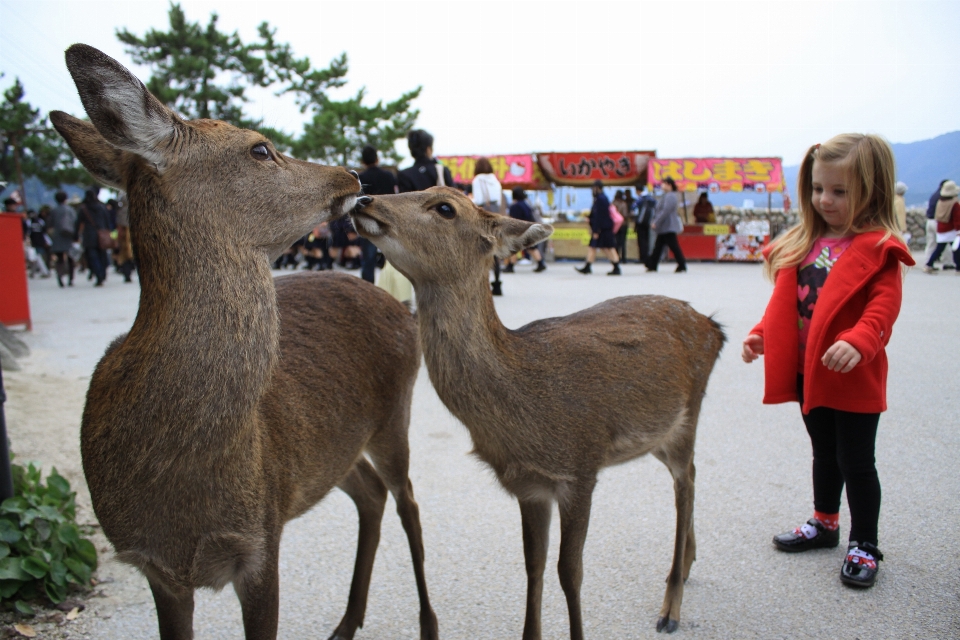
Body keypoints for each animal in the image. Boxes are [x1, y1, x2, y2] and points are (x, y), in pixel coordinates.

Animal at [53, 45, 438, 640]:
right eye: (260, 148)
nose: (352, 175)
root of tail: (402, 308)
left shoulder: (261, 538)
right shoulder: (157, 566)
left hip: (395, 413)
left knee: (409, 502)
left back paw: (426, 622)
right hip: (328, 448)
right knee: (372, 494)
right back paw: (347, 622)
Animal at [352, 188, 728, 636]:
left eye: (444, 207)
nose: (363, 198)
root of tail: (714, 328)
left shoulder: (581, 467)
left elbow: (571, 572)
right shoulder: (529, 486)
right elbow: (534, 566)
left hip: (690, 412)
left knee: (684, 483)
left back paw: (670, 608)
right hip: (659, 433)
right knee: (691, 475)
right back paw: (687, 564)